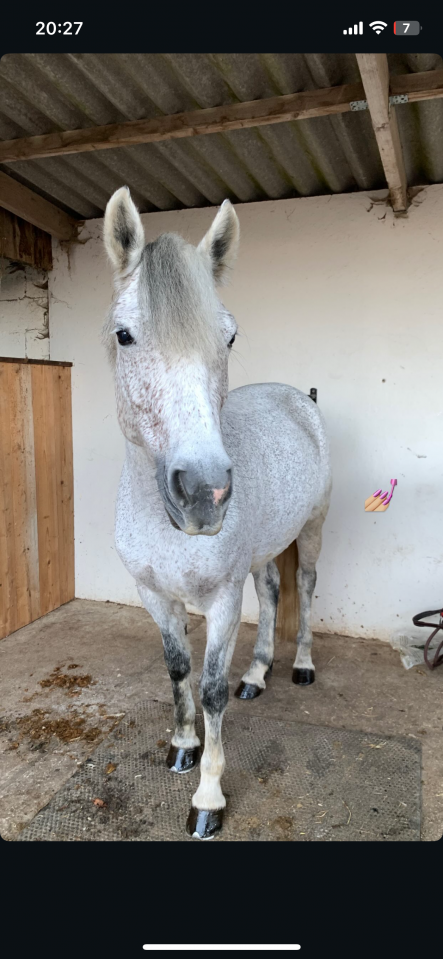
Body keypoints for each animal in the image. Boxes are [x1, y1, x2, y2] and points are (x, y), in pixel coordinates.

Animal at [103, 187, 332, 839]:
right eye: (124, 335)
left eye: (228, 337)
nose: (204, 492)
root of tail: (299, 398)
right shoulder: (154, 595)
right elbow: (177, 669)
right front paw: (182, 747)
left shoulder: (223, 602)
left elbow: (209, 691)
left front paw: (208, 797)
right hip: (263, 553)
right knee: (273, 590)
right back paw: (256, 674)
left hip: (311, 531)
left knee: (306, 586)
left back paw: (300, 665)